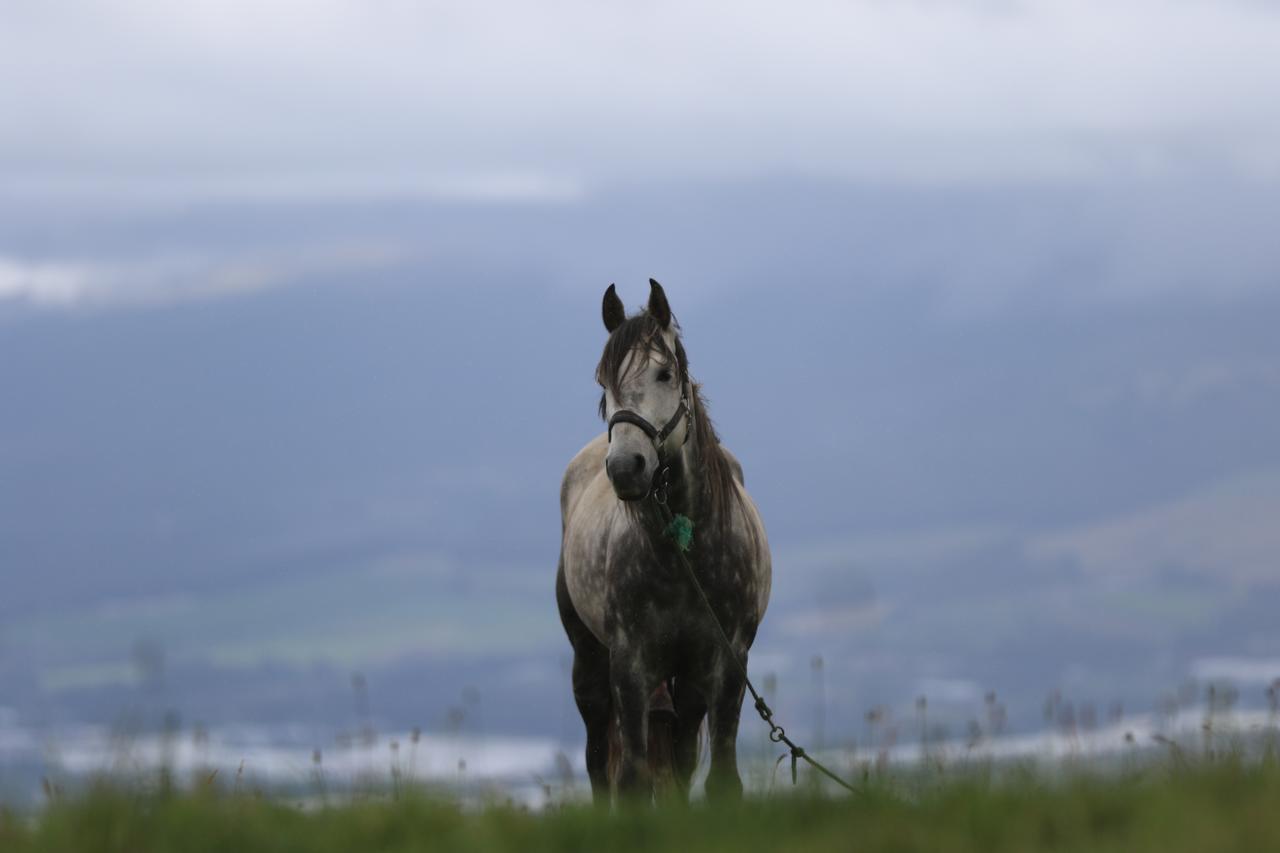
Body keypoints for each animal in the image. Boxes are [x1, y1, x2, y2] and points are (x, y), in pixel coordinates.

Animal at [552, 280, 768, 804]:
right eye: (602, 382)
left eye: (664, 373)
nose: (625, 467)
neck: (683, 553)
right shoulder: (630, 665)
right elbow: (631, 777)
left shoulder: (727, 662)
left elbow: (720, 777)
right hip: (590, 662)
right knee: (598, 760)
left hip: (687, 684)